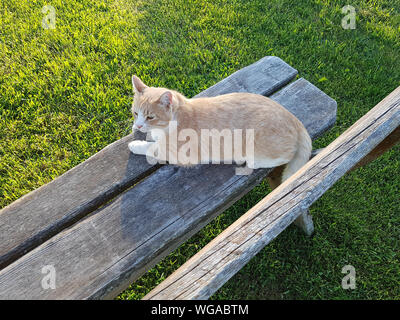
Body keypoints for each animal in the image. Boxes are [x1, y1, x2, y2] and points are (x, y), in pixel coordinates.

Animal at [129, 74, 312, 181]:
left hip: (256, 151)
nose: (138, 125)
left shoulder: (181, 155)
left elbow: (152, 148)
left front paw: (135, 144)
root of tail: (294, 119)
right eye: (135, 113)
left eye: (150, 117)